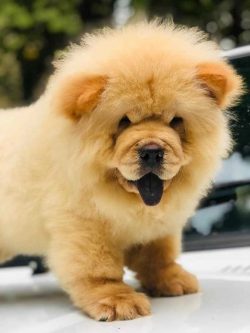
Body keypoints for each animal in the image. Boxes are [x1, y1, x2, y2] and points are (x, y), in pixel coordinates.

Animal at [0, 21, 243, 320]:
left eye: (175, 121)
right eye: (124, 121)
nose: (152, 150)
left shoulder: (158, 226)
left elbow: (158, 253)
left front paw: (171, 280)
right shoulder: (84, 224)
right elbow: (97, 268)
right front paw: (117, 301)